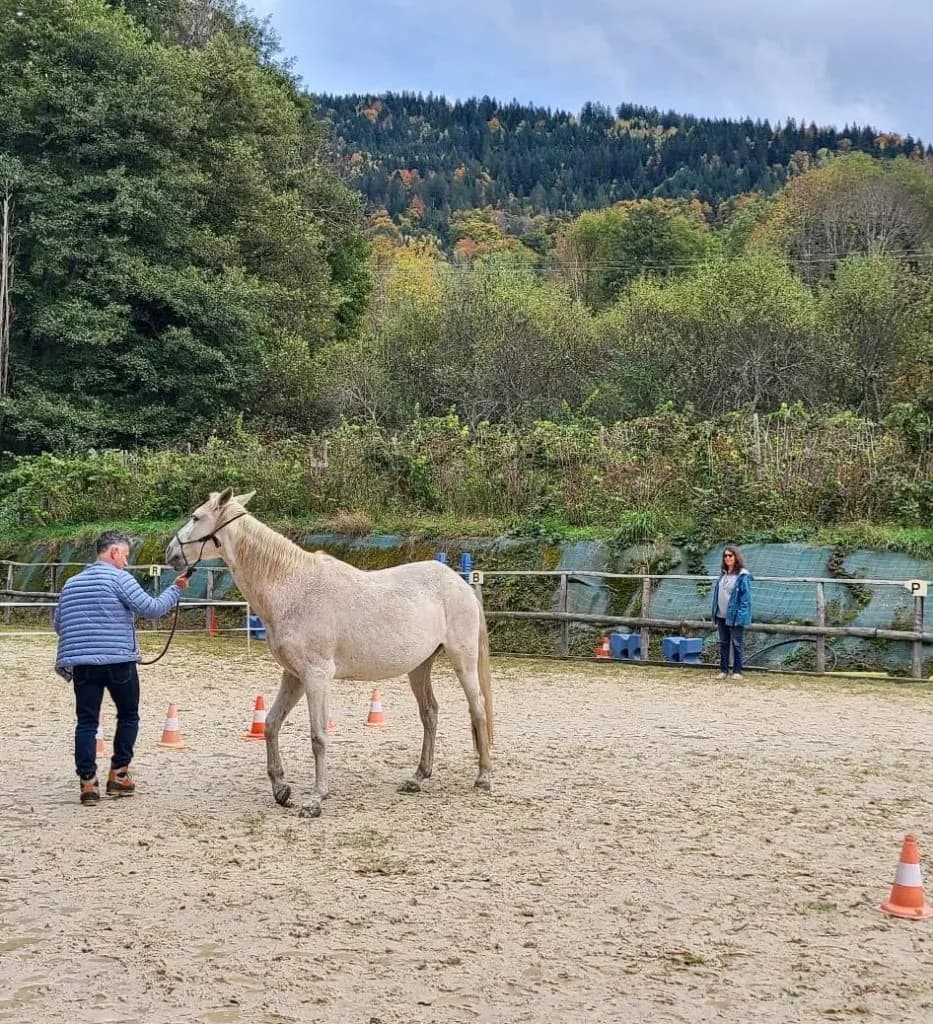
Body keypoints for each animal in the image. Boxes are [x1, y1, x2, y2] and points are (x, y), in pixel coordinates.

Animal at [165, 488, 494, 818]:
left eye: (196, 517)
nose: (170, 554)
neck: (293, 588)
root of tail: (460, 583)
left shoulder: (316, 677)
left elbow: (318, 736)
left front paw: (316, 799)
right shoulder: (294, 676)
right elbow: (271, 724)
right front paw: (281, 789)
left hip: (462, 661)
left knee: (477, 708)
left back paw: (483, 776)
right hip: (420, 666)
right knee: (430, 713)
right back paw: (418, 778)